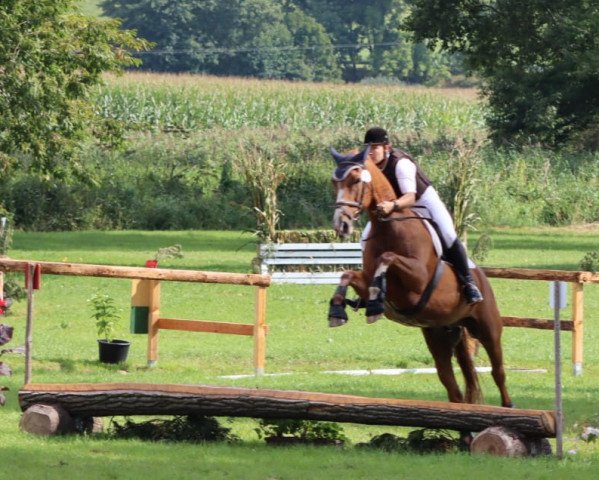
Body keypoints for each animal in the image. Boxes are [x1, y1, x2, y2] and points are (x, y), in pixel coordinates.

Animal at [330, 146, 512, 408]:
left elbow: (387, 258)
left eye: (355, 180)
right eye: (335, 182)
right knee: (451, 384)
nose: (341, 225)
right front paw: (338, 311)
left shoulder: (417, 283)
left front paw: (374, 303)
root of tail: (482, 278)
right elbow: (348, 275)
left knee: (498, 373)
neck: (388, 226)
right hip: (439, 335)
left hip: (488, 329)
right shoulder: (371, 282)